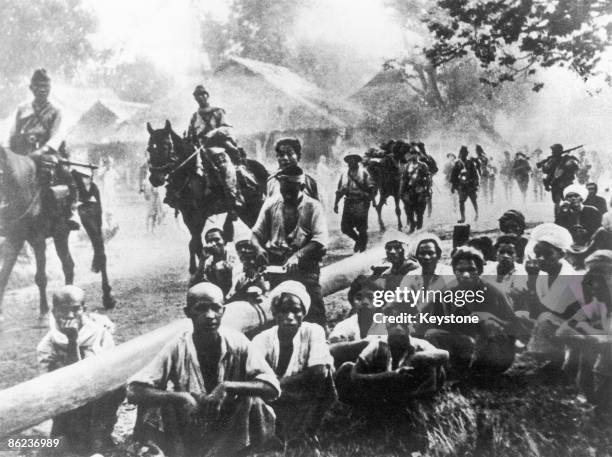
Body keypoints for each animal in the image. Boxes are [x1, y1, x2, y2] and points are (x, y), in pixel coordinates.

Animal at [0, 147, 116, 320]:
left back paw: (108, 298)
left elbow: (41, 277)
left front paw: (43, 313)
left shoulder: (38, 240)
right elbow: (4, 275)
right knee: (68, 265)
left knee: (100, 256)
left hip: (91, 222)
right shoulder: (15, 238)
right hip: (61, 234)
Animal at [147, 119, 268, 272]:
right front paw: (197, 268)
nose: (155, 178)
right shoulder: (188, 215)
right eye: (149, 149)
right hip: (245, 211)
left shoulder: (200, 215)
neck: (192, 172)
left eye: (165, 146)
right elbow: (195, 243)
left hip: (255, 205)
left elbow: (196, 243)